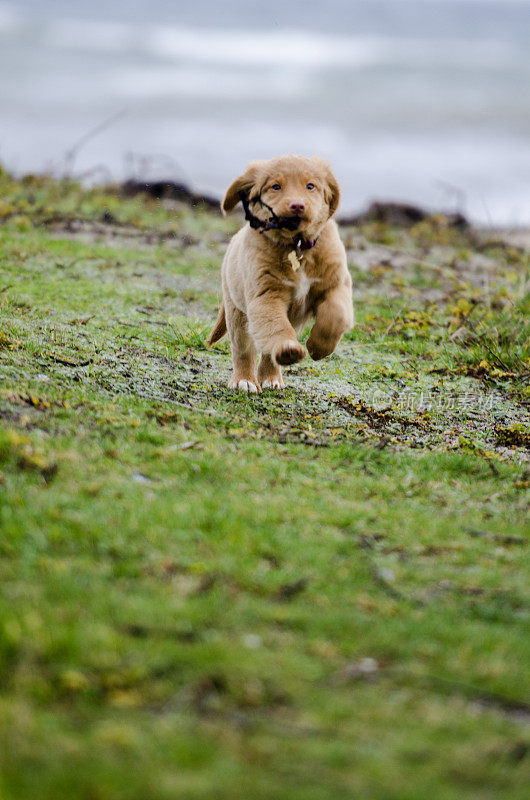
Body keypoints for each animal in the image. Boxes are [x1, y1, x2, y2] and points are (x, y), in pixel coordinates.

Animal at [205, 153, 350, 390]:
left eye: (310, 186)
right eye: (275, 186)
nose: (297, 205)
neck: (297, 247)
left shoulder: (336, 285)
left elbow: (336, 315)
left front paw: (319, 347)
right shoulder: (266, 296)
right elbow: (277, 329)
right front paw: (288, 348)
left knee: (266, 350)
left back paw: (271, 378)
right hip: (237, 312)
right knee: (244, 350)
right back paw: (245, 380)